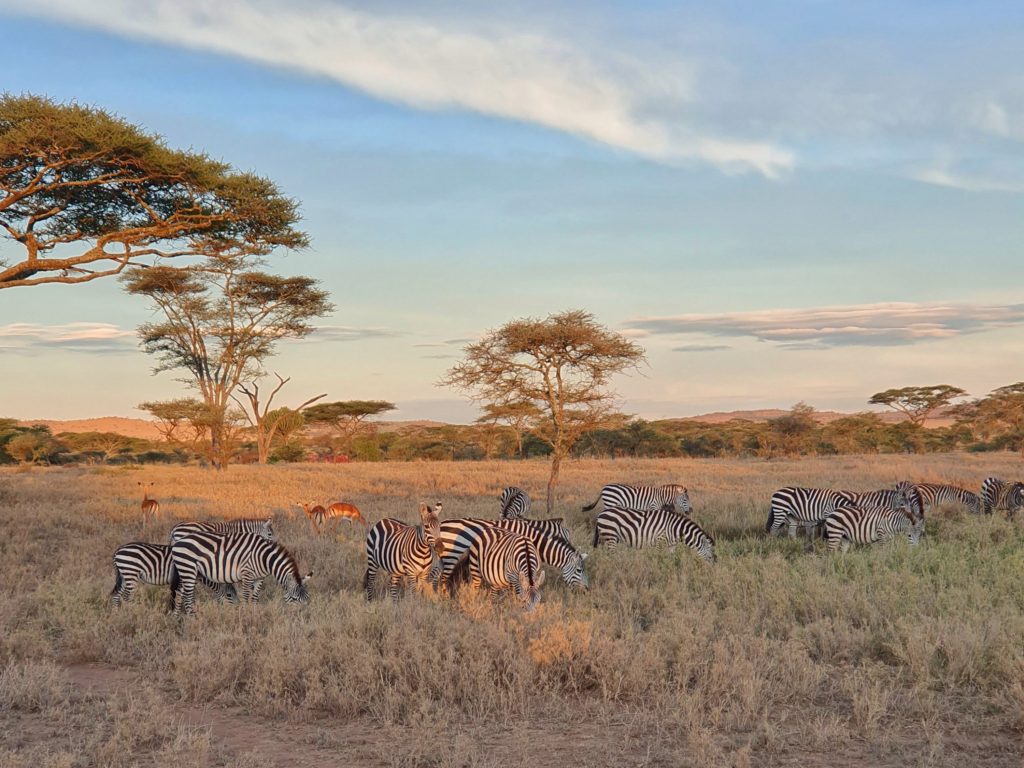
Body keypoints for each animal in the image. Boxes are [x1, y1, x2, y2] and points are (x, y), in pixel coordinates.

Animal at [167, 532, 309, 618]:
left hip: (190, 572)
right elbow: (246, 596)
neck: (264, 558)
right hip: (188, 568)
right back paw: (192, 619)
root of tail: (177, 542)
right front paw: (245, 614)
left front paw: (254, 613)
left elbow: (255, 597)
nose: (303, 616)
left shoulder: (259, 578)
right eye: (295, 599)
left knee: (179, 593)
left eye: (307, 599)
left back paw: (176, 617)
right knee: (187, 596)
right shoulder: (247, 574)